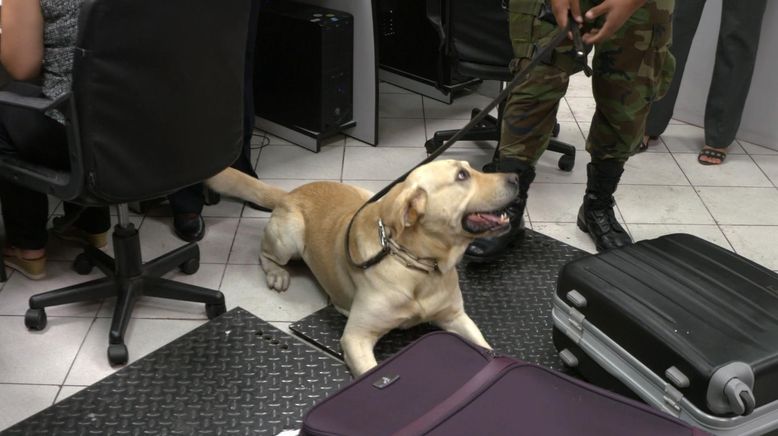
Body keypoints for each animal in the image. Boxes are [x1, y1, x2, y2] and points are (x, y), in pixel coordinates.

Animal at [208, 160, 516, 374]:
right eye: (462, 175)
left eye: (471, 168)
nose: (515, 177)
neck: (418, 266)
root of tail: (290, 192)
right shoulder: (356, 337)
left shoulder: (455, 317)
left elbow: (487, 347)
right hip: (290, 238)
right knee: (264, 253)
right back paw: (277, 274)